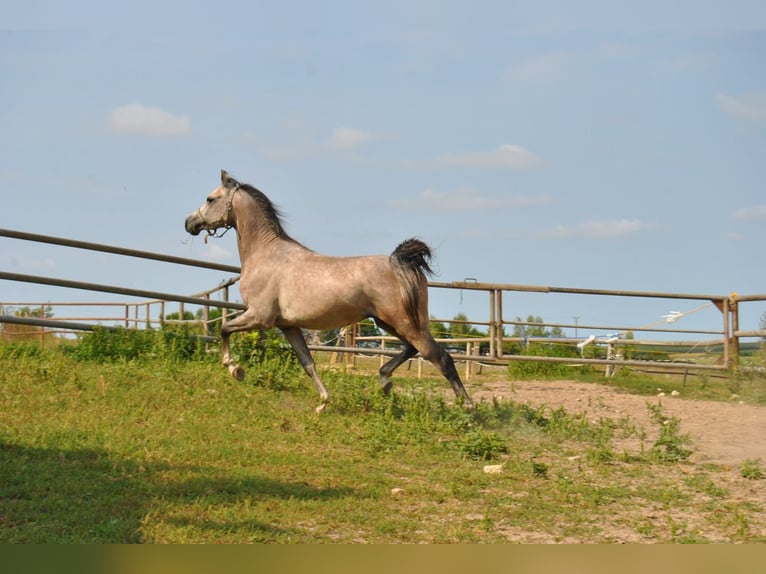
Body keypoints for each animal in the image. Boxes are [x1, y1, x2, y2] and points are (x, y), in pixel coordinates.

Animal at [186, 171, 474, 414]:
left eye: (210, 198)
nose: (189, 222)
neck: (266, 253)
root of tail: (400, 262)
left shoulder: (259, 317)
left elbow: (224, 329)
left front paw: (234, 368)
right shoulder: (288, 326)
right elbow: (308, 363)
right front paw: (323, 403)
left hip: (405, 323)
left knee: (441, 358)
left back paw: (469, 411)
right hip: (391, 323)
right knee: (412, 350)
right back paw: (385, 382)